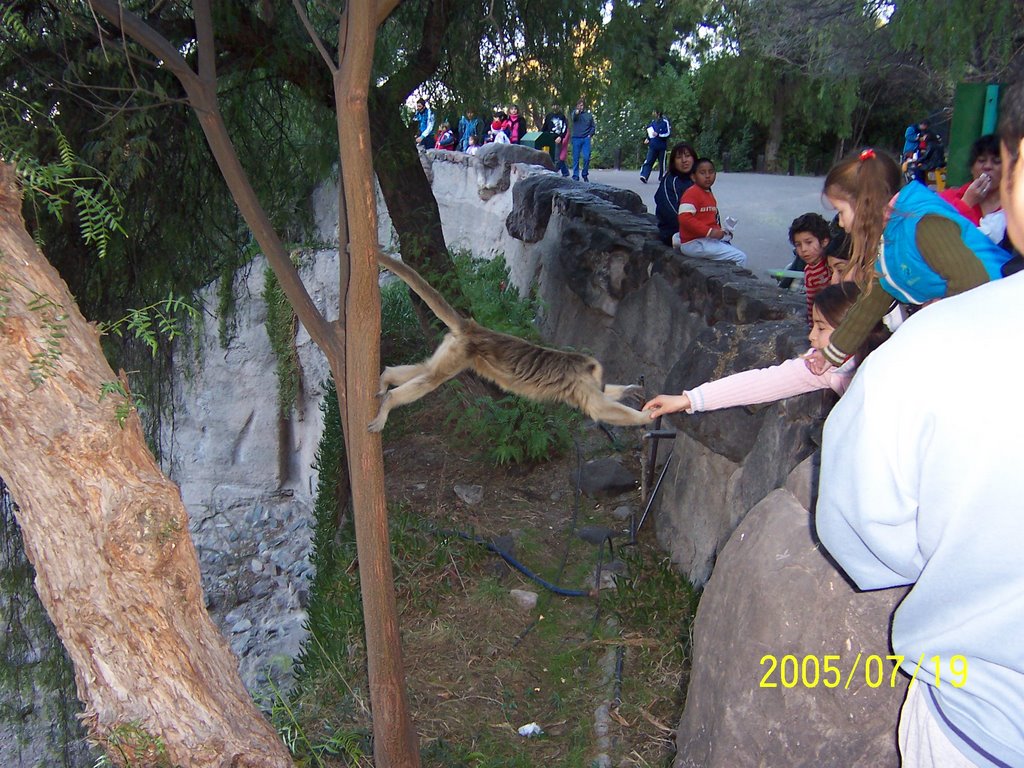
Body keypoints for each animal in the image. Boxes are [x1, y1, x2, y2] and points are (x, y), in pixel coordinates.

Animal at [368, 250, 647, 434]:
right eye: (598, 380)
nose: (601, 385)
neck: (582, 365)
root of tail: (474, 328)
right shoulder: (580, 382)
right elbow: (600, 409)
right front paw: (647, 415)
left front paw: (630, 390)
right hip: (462, 351)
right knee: (431, 379)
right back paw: (390, 400)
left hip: (455, 348)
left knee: (427, 369)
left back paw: (386, 378)